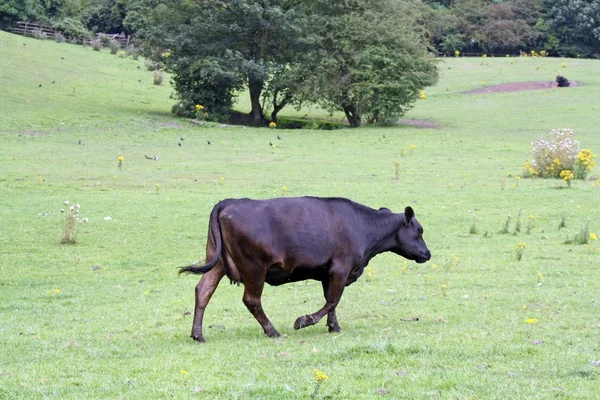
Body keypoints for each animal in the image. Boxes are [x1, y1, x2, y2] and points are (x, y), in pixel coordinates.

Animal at [179, 195, 432, 342]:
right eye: (419, 231)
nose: (428, 254)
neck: (363, 226)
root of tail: (228, 202)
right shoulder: (340, 268)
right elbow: (332, 300)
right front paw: (304, 320)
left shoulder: (327, 273)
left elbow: (332, 302)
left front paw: (334, 326)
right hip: (254, 268)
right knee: (251, 300)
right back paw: (272, 331)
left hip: (217, 262)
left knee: (203, 291)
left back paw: (198, 335)